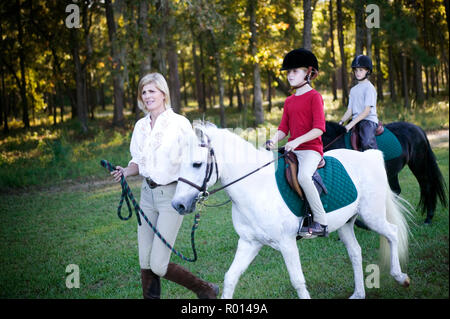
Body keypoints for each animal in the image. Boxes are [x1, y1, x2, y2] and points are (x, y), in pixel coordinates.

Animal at [171, 123, 412, 300]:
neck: (257, 187)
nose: (178, 205)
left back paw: (400, 277)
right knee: (355, 252)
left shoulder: (287, 243)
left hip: (372, 216)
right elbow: (230, 277)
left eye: (196, 164)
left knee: (391, 233)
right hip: (345, 224)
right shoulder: (249, 242)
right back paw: (359, 293)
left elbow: (297, 281)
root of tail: (369, 156)